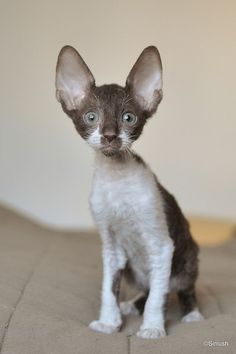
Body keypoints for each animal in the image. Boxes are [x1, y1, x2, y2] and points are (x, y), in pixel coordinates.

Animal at [54, 45, 203, 338]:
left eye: (128, 118)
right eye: (91, 117)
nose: (110, 136)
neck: (117, 178)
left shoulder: (161, 245)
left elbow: (159, 295)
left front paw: (153, 328)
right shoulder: (111, 247)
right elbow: (108, 289)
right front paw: (108, 322)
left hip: (187, 258)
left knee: (180, 288)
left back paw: (191, 314)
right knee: (148, 288)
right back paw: (131, 306)